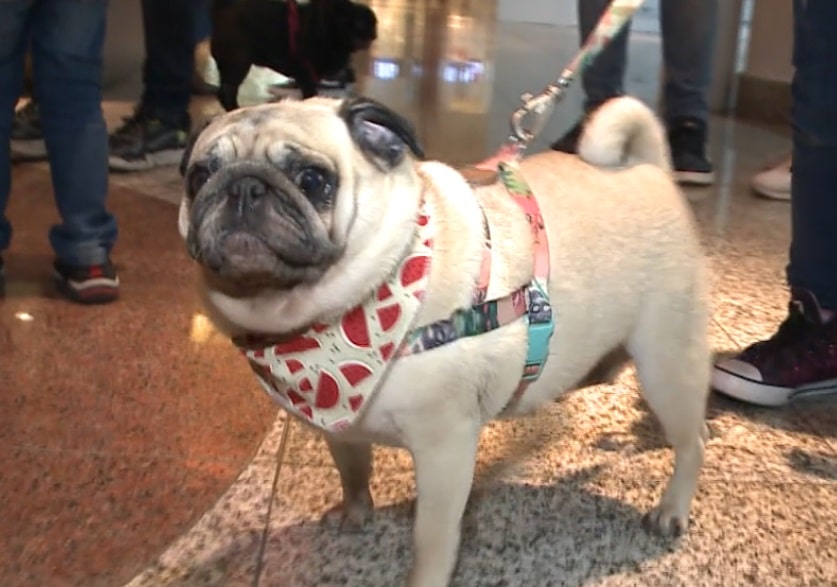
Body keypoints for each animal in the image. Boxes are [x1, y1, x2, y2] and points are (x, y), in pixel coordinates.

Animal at [178, 94, 712, 584]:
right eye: (199, 176)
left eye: (312, 180)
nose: (243, 187)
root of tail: (649, 169)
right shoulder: (340, 429)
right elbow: (353, 468)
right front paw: (356, 510)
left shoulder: (445, 450)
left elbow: (430, 539)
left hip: (667, 361)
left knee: (690, 441)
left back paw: (672, 506)